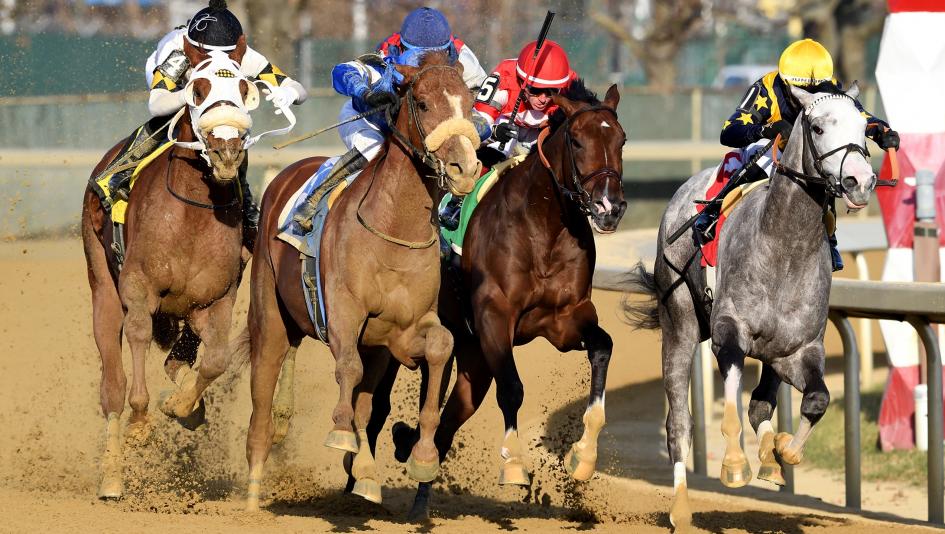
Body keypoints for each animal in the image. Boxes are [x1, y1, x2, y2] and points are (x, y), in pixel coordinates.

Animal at [81, 36, 266, 499]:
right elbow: (138, 339)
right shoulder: (139, 289)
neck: (191, 213)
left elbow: (215, 360)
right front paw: (141, 423)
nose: (226, 151)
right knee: (112, 386)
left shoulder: (217, 298)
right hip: (102, 285)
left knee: (181, 356)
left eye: (244, 90)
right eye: (197, 90)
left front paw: (183, 403)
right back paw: (112, 477)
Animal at [243, 50, 481, 511]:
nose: (465, 168)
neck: (393, 230)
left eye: (469, 102)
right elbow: (347, 371)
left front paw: (422, 457)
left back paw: (367, 474)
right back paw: (252, 495)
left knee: (367, 402)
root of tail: (283, 176)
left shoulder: (404, 330)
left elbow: (440, 347)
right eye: (422, 103)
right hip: (270, 317)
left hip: (377, 349)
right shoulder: (342, 313)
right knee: (262, 403)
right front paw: (339, 432)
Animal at [354, 81, 628, 519]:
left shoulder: (565, 319)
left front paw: (583, 457)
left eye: (621, 139)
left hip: (472, 361)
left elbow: (603, 346)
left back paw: (419, 491)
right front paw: (514, 464)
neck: (542, 228)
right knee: (377, 409)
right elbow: (513, 388)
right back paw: (359, 484)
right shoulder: (494, 317)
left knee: (447, 422)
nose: (609, 207)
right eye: (577, 140)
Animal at [623, 83, 880, 529]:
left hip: (771, 354)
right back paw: (682, 509)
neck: (785, 247)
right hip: (679, 321)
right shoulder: (729, 332)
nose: (860, 181)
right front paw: (734, 463)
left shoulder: (799, 350)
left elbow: (815, 400)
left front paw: (785, 451)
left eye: (864, 127)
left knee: (761, 404)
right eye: (817, 127)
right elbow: (729, 400)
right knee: (679, 423)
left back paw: (771, 457)